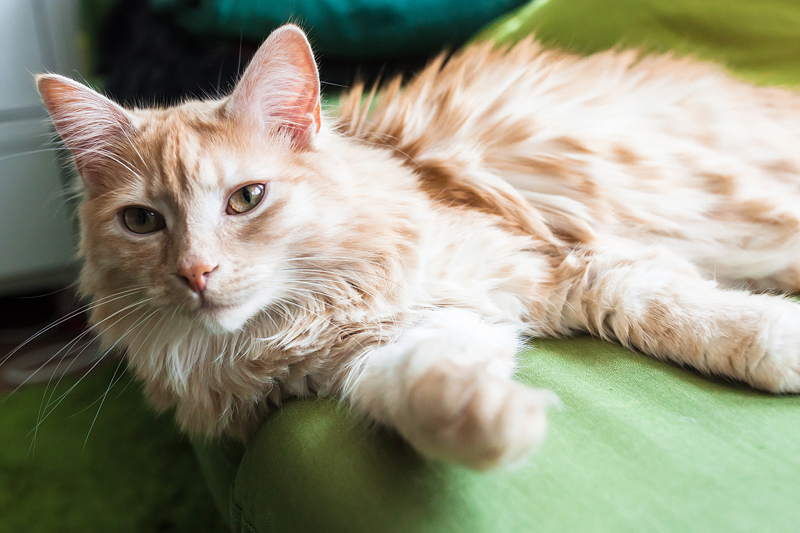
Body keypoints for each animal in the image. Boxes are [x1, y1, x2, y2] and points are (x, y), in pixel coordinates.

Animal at [39, 22, 800, 468]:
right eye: (143, 222)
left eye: (246, 199)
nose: (196, 272)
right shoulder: (384, 349)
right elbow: (423, 388)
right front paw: (494, 425)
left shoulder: (564, 263)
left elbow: (676, 309)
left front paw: (776, 342)